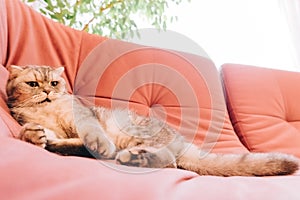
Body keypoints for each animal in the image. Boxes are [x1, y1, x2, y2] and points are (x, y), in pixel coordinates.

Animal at [5, 65, 298, 176]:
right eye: (33, 84)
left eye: (54, 83)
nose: (47, 91)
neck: (49, 112)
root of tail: (183, 142)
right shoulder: (52, 127)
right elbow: (42, 133)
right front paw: (32, 134)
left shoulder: (84, 118)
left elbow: (92, 133)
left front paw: (98, 144)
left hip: (140, 135)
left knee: (168, 161)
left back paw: (133, 157)